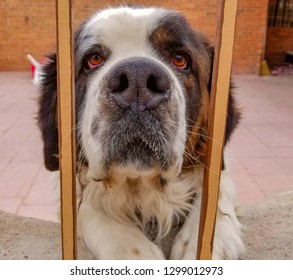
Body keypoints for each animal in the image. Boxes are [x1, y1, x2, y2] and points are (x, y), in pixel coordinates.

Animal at [38, 5, 244, 260]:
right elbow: (86, 204)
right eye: (93, 60)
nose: (138, 79)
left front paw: (204, 243)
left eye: (180, 60)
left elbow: (217, 186)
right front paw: (135, 252)